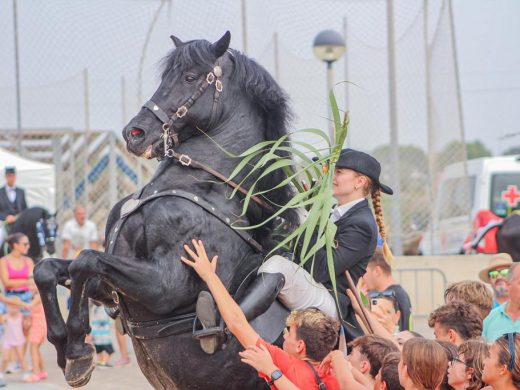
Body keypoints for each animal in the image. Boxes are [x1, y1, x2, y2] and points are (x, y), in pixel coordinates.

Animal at [34, 32, 298, 388]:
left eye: (189, 77)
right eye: (164, 77)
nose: (134, 133)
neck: (200, 187)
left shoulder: (166, 287)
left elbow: (85, 261)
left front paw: (77, 347)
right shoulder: (111, 282)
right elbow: (49, 268)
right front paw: (65, 345)